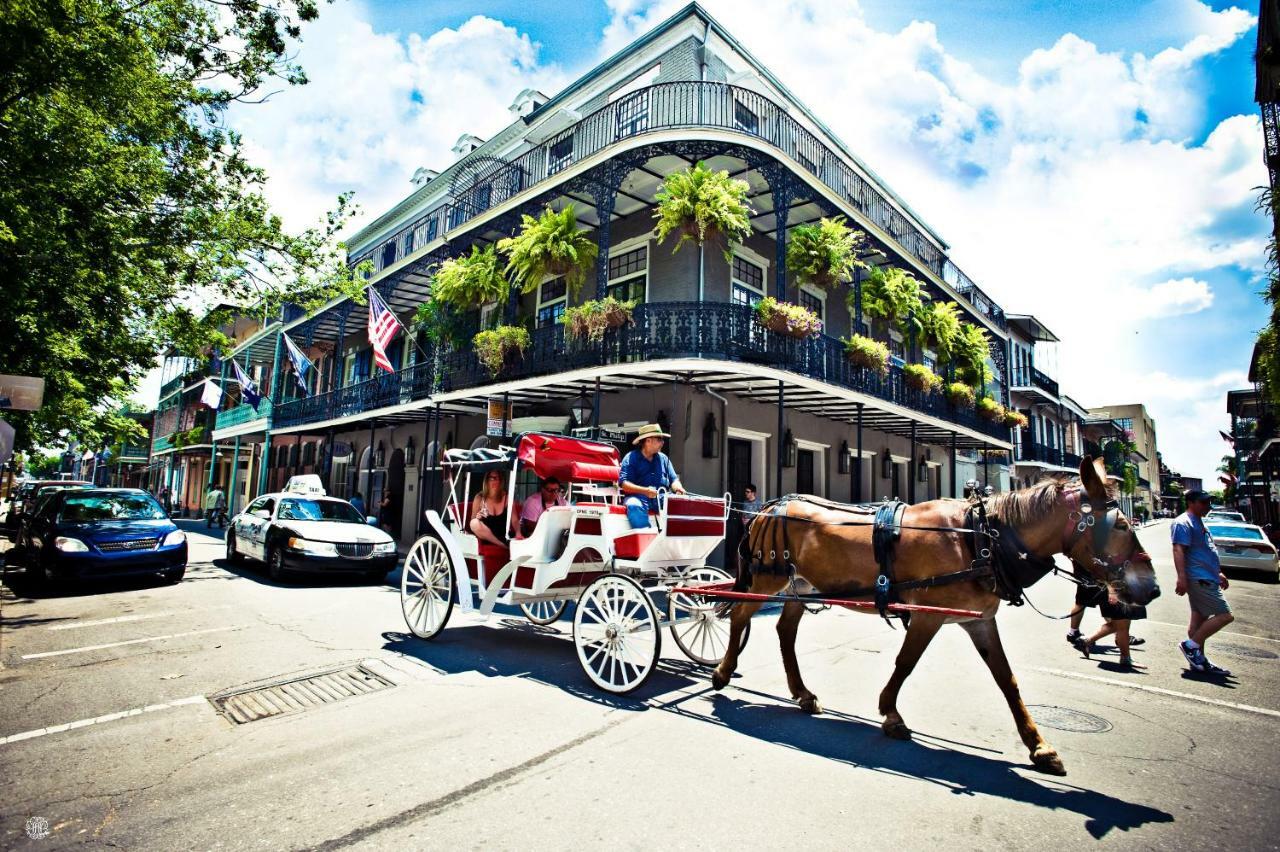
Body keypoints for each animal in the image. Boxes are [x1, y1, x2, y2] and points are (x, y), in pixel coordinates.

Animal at [711, 455, 1162, 772]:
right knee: (740, 617)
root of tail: (771, 507)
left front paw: (1039, 746)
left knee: (785, 629)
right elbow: (906, 662)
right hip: (767, 580)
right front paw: (891, 714)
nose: (1153, 587)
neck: (980, 538)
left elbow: (1007, 680)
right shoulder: (927, 614)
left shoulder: (979, 620)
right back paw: (722, 672)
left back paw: (802, 693)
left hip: (800, 587)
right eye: (1120, 524)